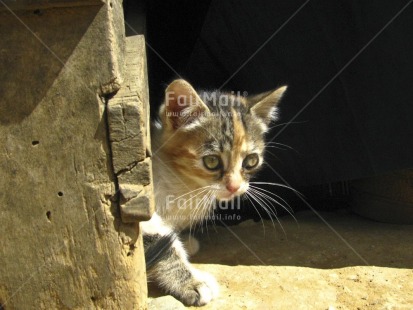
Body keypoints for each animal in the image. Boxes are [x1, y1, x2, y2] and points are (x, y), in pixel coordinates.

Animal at [140, 79, 284, 306]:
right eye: (212, 161)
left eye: (251, 160)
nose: (234, 186)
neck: (187, 187)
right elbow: (159, 242)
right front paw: (192, 282)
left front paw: (185, 242)